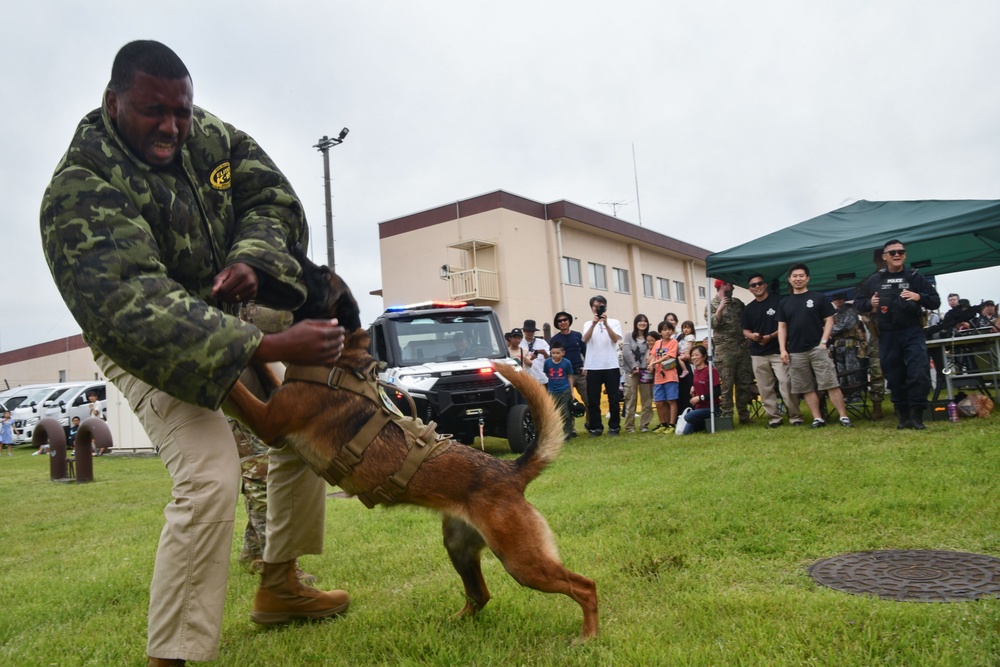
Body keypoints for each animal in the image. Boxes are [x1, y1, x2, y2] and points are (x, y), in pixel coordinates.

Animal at [229, 253, 592, 640]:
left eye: (322, 274)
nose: (293, 252)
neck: (338, 361)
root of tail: (510, 470)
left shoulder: (267, 422)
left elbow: (238, 388)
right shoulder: (272, 403)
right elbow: (259, 367)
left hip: (521, 562)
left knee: (585, 586)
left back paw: (587, 635)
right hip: (460, 548)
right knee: (480, 595)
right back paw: (451, 624)